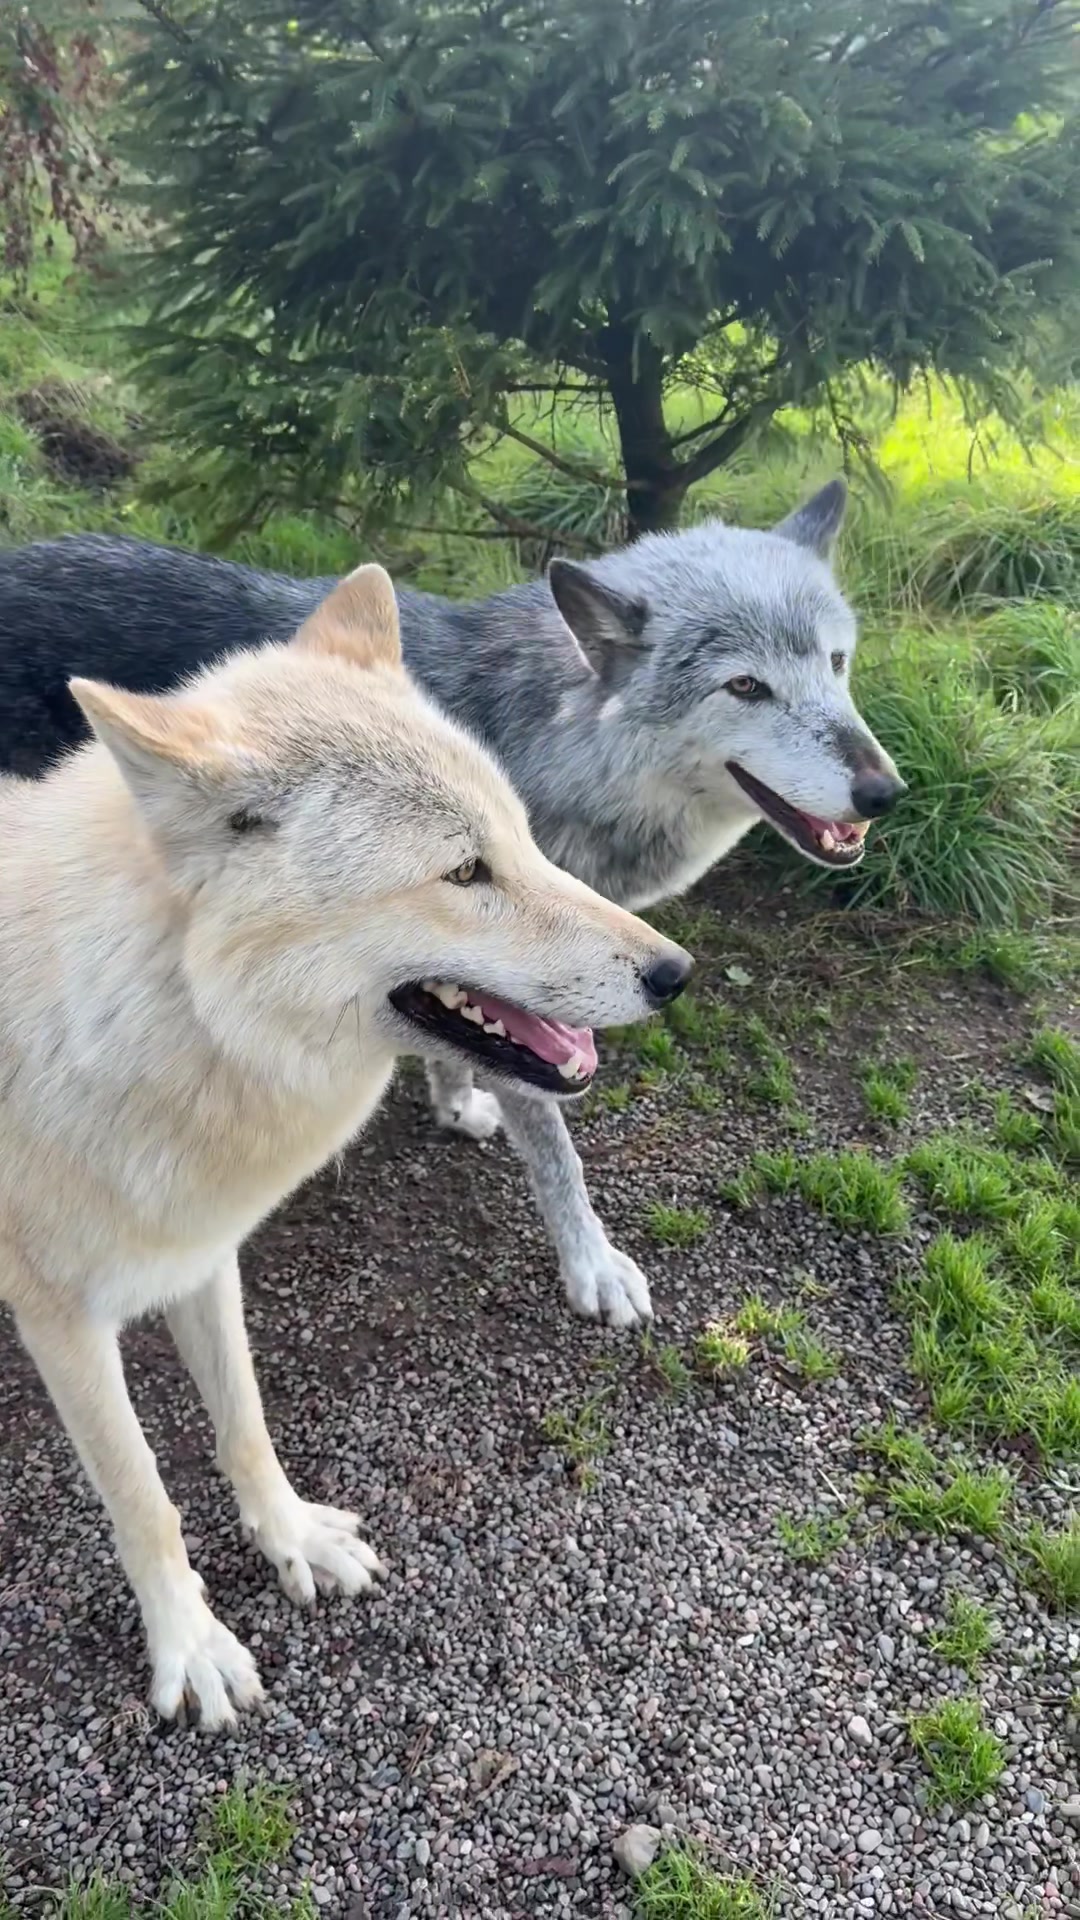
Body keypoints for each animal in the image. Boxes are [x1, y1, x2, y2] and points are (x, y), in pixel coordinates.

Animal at [0, 478, 905, 1329]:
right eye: (746, 686)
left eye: (837, 663)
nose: (885, 792)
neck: (551, 734)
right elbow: (558, 1148)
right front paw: (593, 1266)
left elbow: (464, 1028)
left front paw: (456, 1100)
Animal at [0, 562, 691, 1724]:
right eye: (464, 874)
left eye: (522, 838)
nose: (675, 972)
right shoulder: (66, 1322)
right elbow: (144, 1494)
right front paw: (190, 1646)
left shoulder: (201, 1250)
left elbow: (244, 1423)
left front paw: (292, 1542)